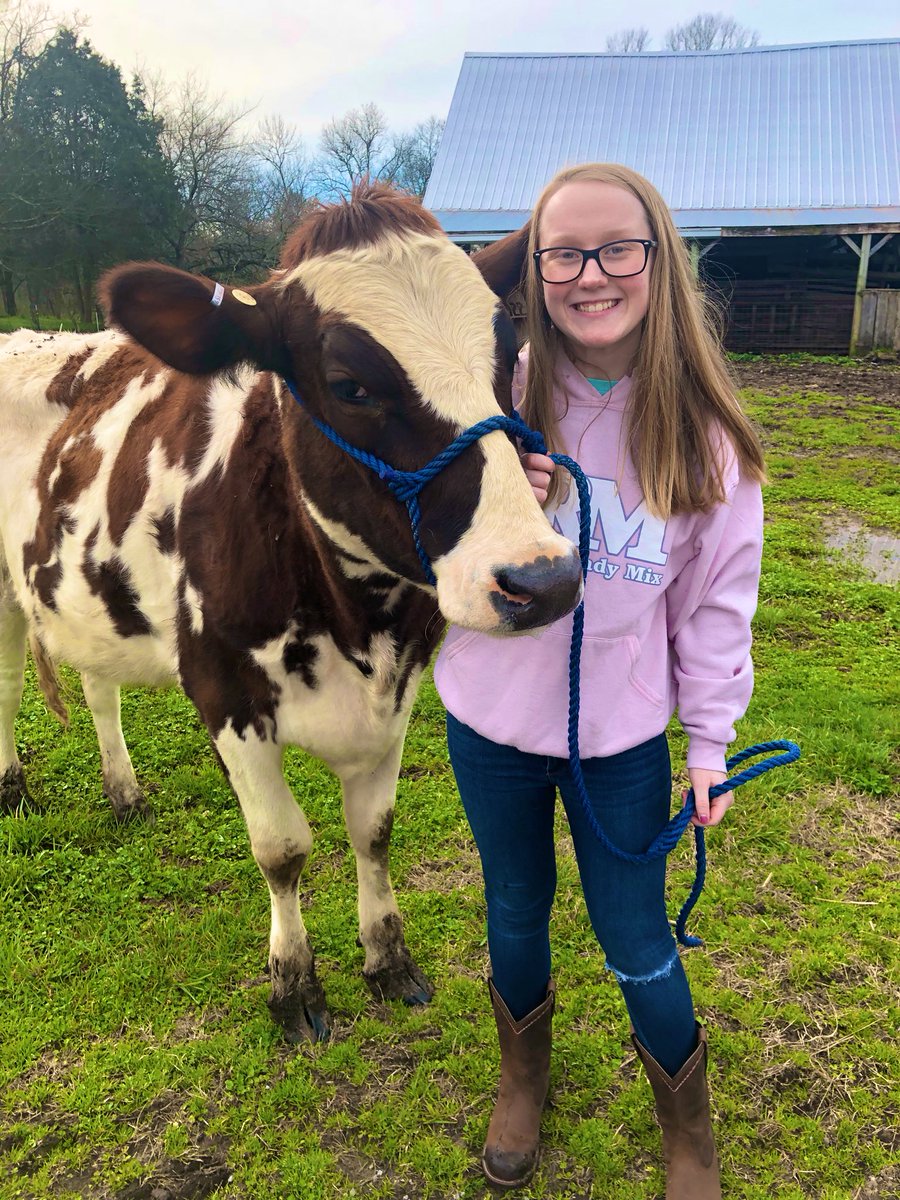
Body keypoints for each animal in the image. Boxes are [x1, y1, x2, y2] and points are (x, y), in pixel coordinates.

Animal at [0, 184, 580, 1041]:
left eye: (507, 356)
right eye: (350, 384)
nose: (543, 579)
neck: (355, 626)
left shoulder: (401, 688)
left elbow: (373, 828)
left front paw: (387, 960)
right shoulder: (223, 691)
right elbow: (282, 847)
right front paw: (294, 985)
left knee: (100, 688)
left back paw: (124, 792)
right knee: (9, 682)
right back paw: (13, 788)